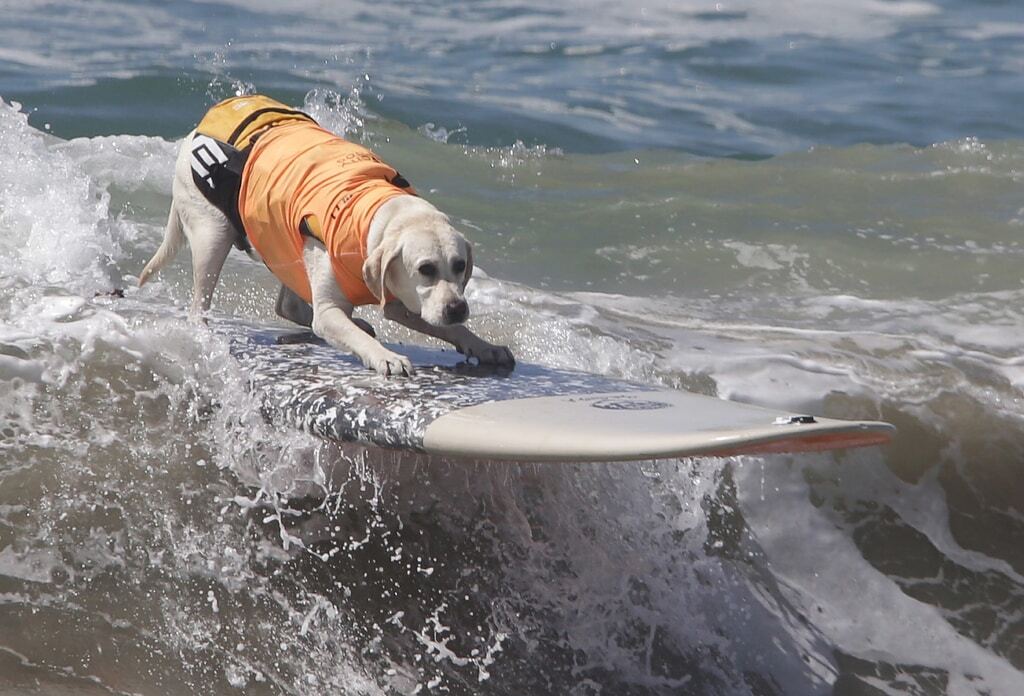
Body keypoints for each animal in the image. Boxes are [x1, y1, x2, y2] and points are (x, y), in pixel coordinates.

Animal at [138, 95, 512, 378]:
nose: (458, 308)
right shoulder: (338, 306)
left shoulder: (402, 300)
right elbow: (344, 327)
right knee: (200, 304)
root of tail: (193, 134)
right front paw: (386, 356)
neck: (373, 214)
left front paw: (484, 345)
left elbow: (447, 328)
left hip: (278, 238)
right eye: (425, 269)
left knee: (290, 304)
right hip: (213, 235)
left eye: (460, 266)